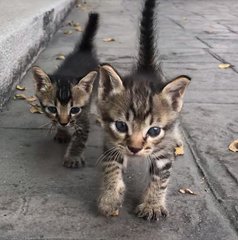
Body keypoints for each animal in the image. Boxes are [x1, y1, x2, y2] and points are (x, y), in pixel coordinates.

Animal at [32, 12, 99, 168]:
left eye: (74, 109)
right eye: (52, 109)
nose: (63, 123)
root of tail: (83, 50)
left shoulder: (83, 115)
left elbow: (80, 138)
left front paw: (73, 156)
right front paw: (62, 132)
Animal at [96, 0, 191, 221]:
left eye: (154, 130)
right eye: (121, 126)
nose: (135, 149)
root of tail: (146, 68)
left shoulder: (163, 153)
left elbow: (161, 178)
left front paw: (152, 204)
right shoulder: (110, 141)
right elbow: (111, 166)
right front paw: (110, 197)